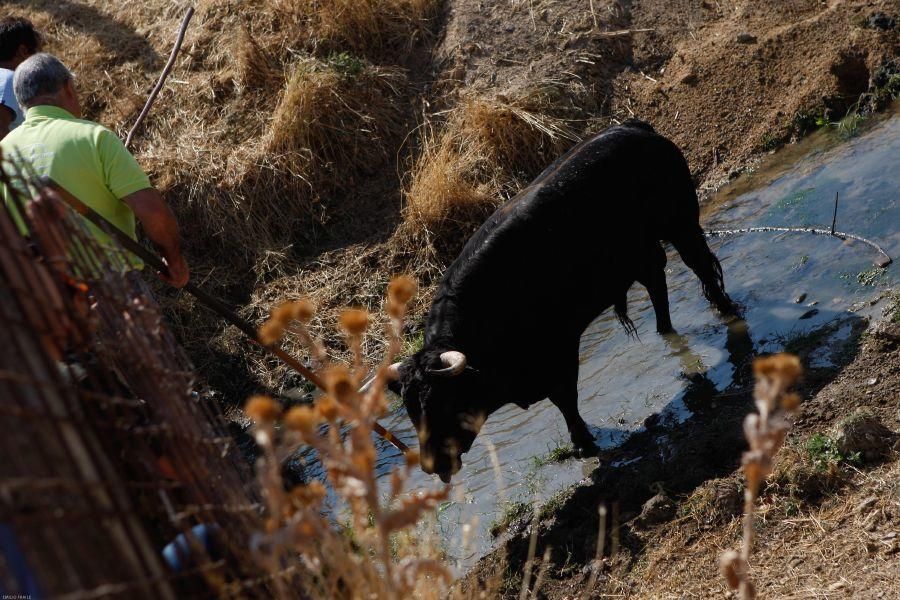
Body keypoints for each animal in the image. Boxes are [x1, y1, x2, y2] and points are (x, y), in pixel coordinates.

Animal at [388, 122, 740, 482]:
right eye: (412, 411)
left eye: (443, 403)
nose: (431, 465)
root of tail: (633, 128)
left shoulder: (560, 349)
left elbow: (565, 399)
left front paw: (583, 443)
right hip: (639, 252)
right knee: (657, 280)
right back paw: (665, 331)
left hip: (680, 224)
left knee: (700, 266)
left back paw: (725, 311)